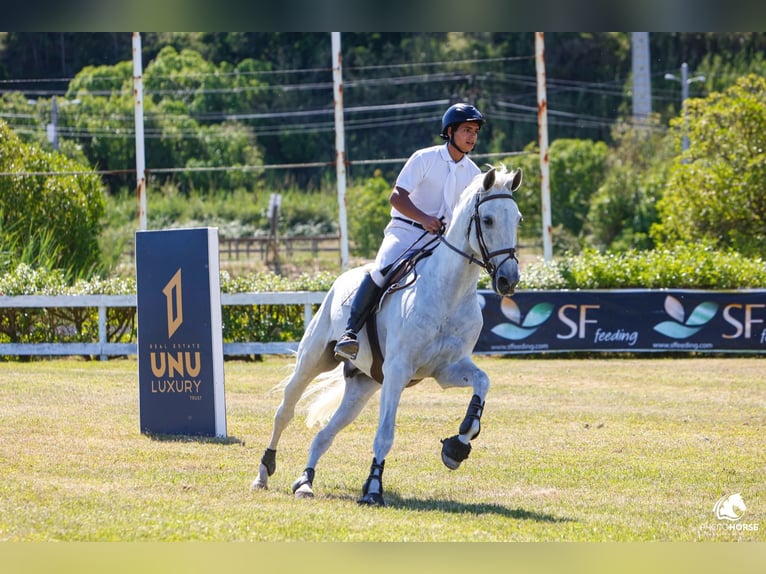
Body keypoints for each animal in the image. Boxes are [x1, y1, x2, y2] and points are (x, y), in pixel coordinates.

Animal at [250, 164, 520, 506]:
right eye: (488, 220)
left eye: (517, 219)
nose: (508, 280)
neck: (450, 292)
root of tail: (341, 279)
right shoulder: (398, 371)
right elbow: (385, 435)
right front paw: (373, 489)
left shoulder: (447, 369)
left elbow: (482, 385)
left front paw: (457, 446)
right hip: (313, 360)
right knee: (285, 412)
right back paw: (263, 472)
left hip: (364, 385)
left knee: (325, 434)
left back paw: (305, 482)